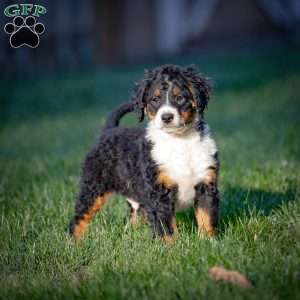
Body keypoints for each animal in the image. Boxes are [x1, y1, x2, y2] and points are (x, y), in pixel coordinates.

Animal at [69, 64, 219, 243]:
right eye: (155, 99)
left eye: (180, 98)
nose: (166, 117)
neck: (180, 142)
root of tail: (109, 131)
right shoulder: (159, 192)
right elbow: (166, 227)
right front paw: (171, 248)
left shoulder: (206, 184)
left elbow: (206, 219)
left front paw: (210, 243)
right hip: (94, 186)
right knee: (79, 217)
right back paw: (74, 243)